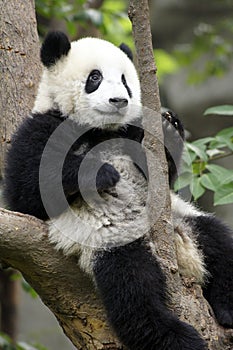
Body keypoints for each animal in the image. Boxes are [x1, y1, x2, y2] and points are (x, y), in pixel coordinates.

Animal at [3, 31, 233, 348]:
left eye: (125, 81)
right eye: (95, 77)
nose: (119, 100)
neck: (100, 130)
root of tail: (187, 261)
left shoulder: (132, 134)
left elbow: (161, 176)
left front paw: (169, 130)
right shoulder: (42, 127)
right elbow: (26, 192)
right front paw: (103, 173)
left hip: (184, 220)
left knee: (220, 243)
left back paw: (227, 310)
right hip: (112, 240)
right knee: (133, 289)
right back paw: (177, 336)